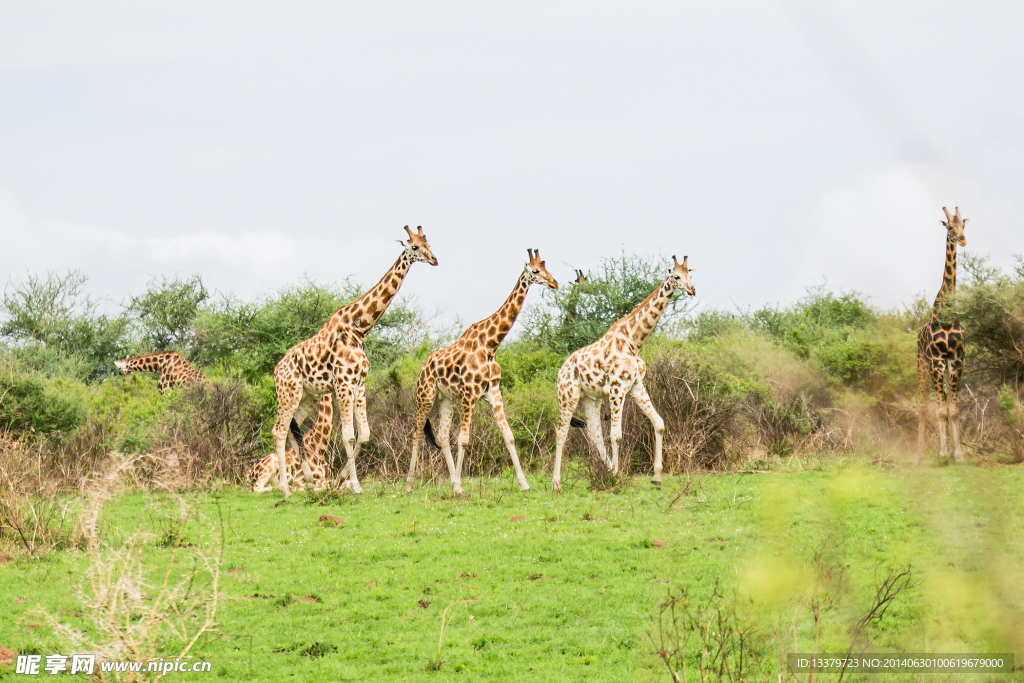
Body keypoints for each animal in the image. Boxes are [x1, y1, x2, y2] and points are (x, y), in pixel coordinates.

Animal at [272, 225, 436, 497]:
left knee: (293, 430)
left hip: (307, 397)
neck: (360, 328)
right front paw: (356, 486)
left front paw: (340, 480)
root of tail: (275, 370)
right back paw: (285, 489)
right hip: (289, 393)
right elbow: (348, 435)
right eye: (414, 247)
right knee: (279, 430)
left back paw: (309, 481)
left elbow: (365, 434)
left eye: (429, 244)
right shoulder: (343, 383)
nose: (434, 259)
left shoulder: (359, 384)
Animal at [403, 248, 561, 493]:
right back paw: (410, 485)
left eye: (546, 267)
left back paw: (451, 482)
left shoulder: (494, 392)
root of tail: (423, 366)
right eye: (535, 271)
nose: (555, 283)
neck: (490, 345)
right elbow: (464, 439)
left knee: (442, 436)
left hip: (446, 399)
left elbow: (509, 436)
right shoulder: (470, 394)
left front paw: (524, 483)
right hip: (425, 395)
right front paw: (460, 486)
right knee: (417, 433)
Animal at [552, 255, 696, 491]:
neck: (634, 341)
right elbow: (617, 436)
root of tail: (560, 371)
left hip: (590, 398)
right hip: (568, 396)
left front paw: (656, 476)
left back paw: (608, 469)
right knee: (561, 432)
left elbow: (659, 423)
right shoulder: (617, 388)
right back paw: (556, 484)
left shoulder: (636, 387)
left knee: (594, 433)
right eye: (675, 276)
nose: (692, 290)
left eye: (689, 275)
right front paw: (617, 477)